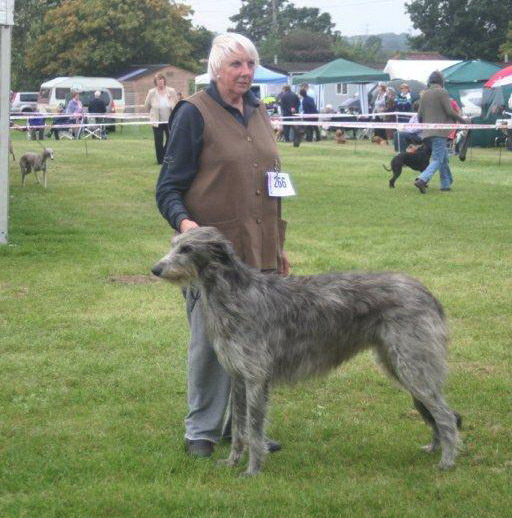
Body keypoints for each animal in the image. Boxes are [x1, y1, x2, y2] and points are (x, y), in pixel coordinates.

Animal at [151, 230, 460, 478]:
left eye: (187, 248)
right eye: (173, 244)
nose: (155, 269)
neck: (235, 294)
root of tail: (427, 292)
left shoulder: (256, 378)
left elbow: (254, 429)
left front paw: (252, 470)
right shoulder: (238, 376)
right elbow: (239, 427)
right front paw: (231, 462)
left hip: (412, 365)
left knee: (446, 415)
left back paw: (447, 461)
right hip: (400, 365)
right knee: (438, 412)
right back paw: (435, 447)